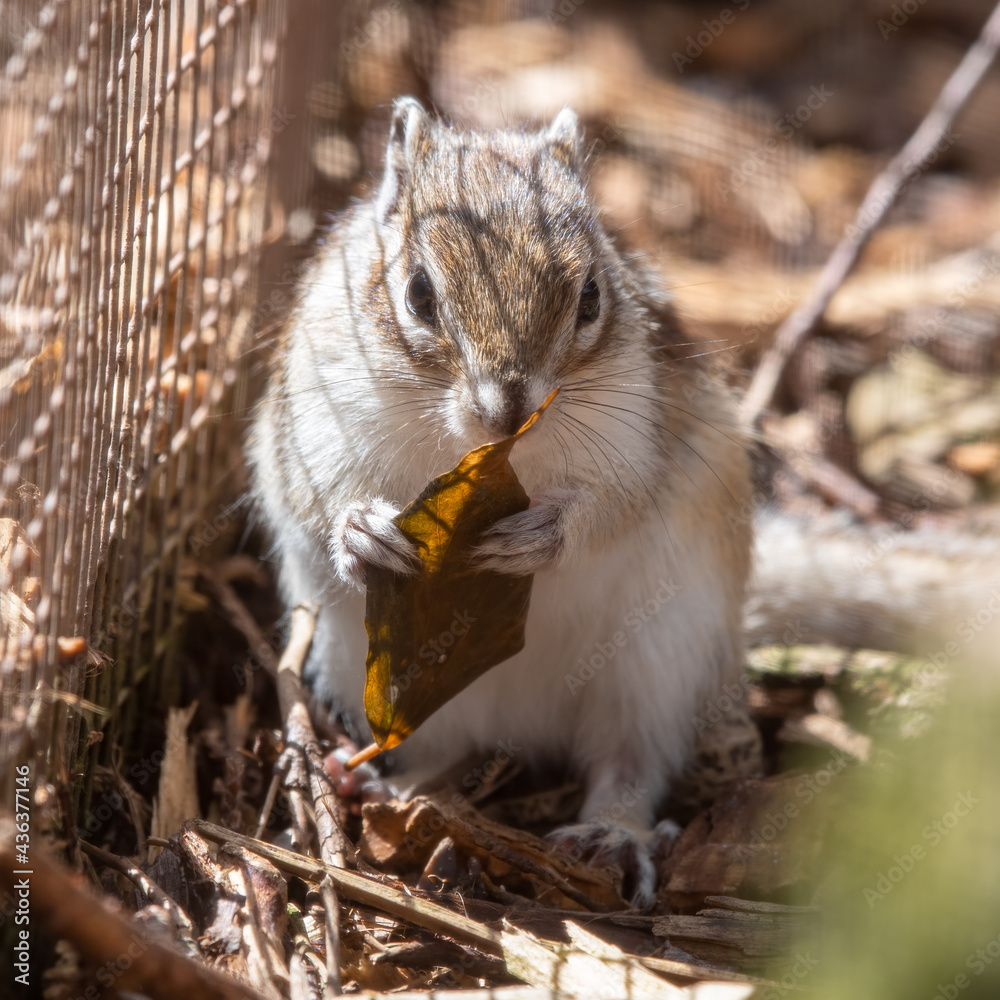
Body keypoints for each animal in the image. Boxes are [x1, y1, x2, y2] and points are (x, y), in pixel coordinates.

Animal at [248, 97, 1000, 907]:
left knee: (629, 762)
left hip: (657, 663)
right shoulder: (311, 418)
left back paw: (613, 833)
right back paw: (391, 787)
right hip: (391, 674)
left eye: (591, 298)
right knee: (441, 748)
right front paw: (363, 531)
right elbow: (317, 493)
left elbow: (610, 510)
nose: (507, 412)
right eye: (418, 292)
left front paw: (544, 535)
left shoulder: (636, 441)